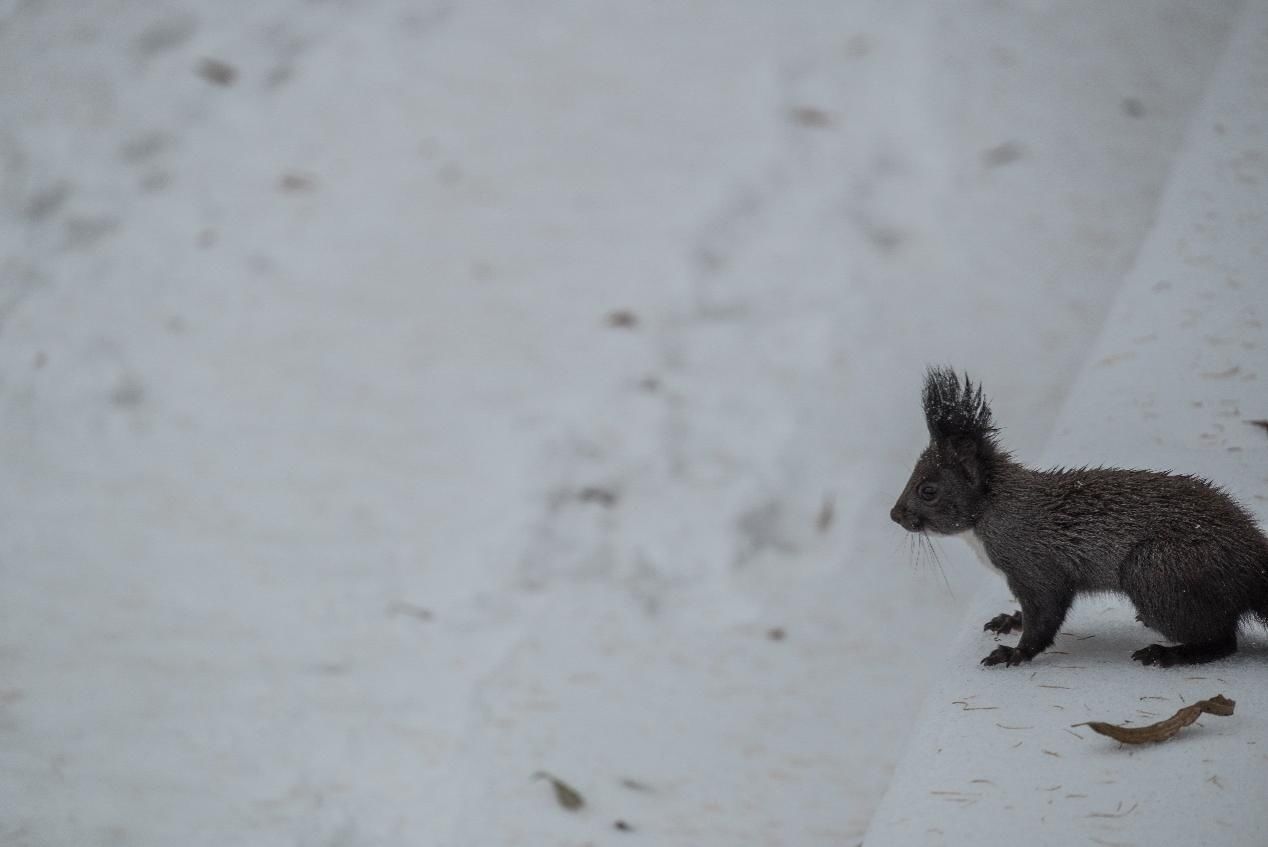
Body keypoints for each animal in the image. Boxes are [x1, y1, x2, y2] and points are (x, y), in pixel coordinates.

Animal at [892, 365, 1268, 669]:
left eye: (928, 490)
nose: (896, 515)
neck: (994, 510)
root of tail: (1253, 564)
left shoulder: (1034, 565)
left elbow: (1045, 614)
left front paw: (1014, 653)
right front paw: (1010, 619)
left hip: (1157, 569)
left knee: (1222, 640)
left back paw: (1167, 654)